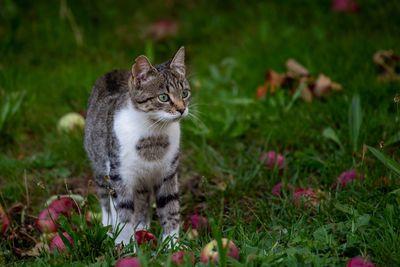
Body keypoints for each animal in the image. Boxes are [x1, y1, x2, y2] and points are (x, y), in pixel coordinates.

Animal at [83, 47, 191, 246]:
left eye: (185, 93)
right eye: (163, 97)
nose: (181, 109)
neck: (153, 134)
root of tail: (112, 72)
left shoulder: (168, 172)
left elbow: (170, 206)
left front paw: (172, 245)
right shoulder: (119, 175)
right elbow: (123, 213)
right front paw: (125, 245)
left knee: (141, 200)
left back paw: (142, 227)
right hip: (99, 165)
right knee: (105, 200)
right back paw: (107, 228)